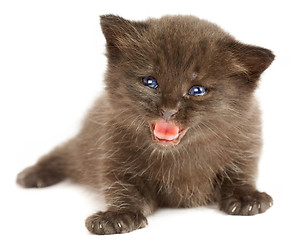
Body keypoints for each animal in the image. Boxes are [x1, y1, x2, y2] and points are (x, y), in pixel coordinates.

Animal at [16, 14, 276, 234]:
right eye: (150, 82)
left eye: (197, 90)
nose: (168, 110)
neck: (178, 157)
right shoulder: (113, 154)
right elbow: (124, 189)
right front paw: (117, 216)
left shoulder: (246, 145)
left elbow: (240, 173)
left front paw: (246, 198)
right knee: (63, 153)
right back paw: (33, 175)